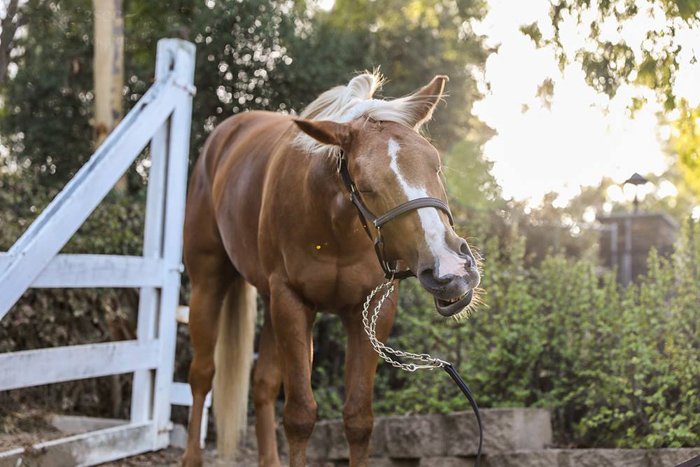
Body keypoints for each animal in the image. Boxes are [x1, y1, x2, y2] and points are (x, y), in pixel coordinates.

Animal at [180, 70, 482, 467]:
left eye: (436, 165)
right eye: (366, 186)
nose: (451, 268)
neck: (334, 226)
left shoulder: (370, 311)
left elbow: (358, 418)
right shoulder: (292, 302)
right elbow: (299, 416)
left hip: (268, 300)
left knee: (262, 385)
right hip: (208, 283)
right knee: (202, 375)